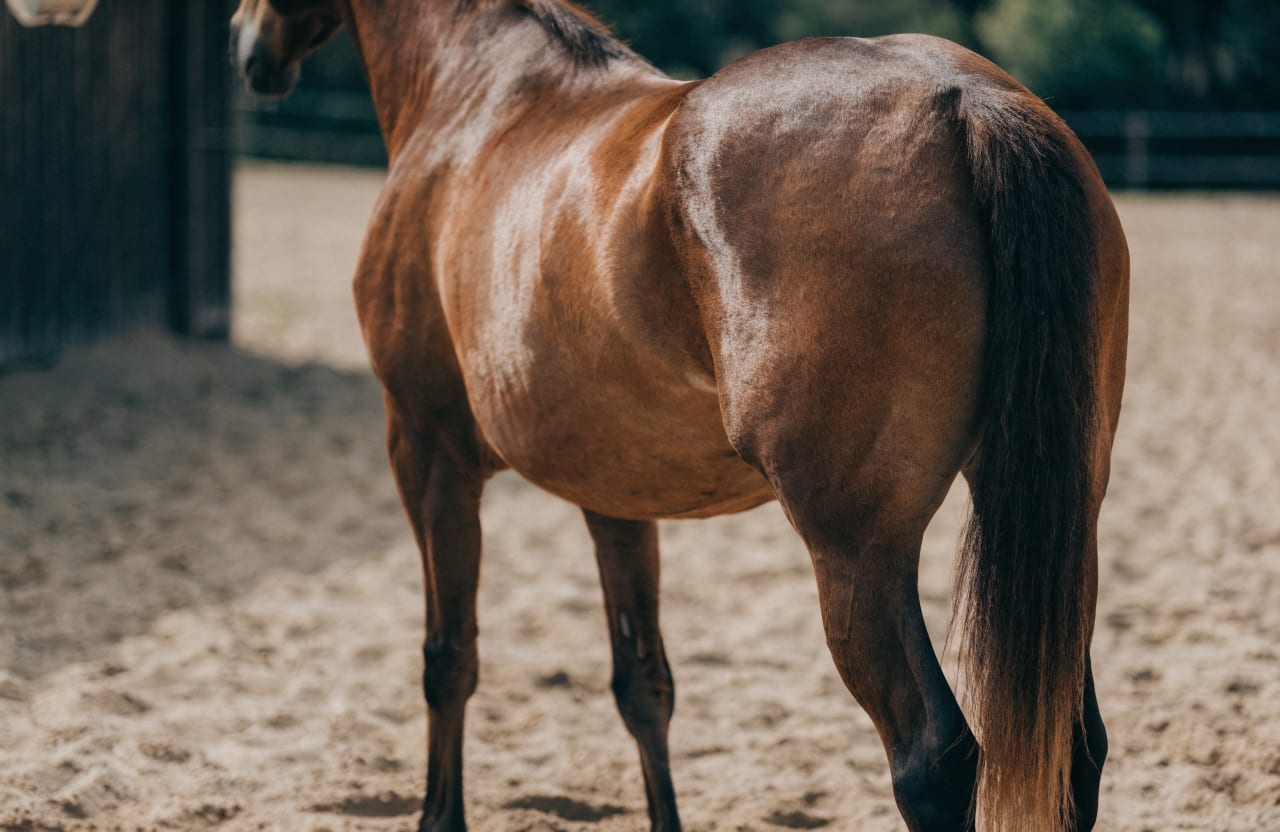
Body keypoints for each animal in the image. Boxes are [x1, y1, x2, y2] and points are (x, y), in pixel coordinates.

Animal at [230, 2, 1129, 830]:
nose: (246, 46)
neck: (479, 96)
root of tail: (963, 101)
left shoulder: (428, 449)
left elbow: (448, 659)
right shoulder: (614, 491)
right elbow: (643, 685)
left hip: (857, 554)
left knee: (933, 761)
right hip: (1061, 519)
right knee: (1074, 752)